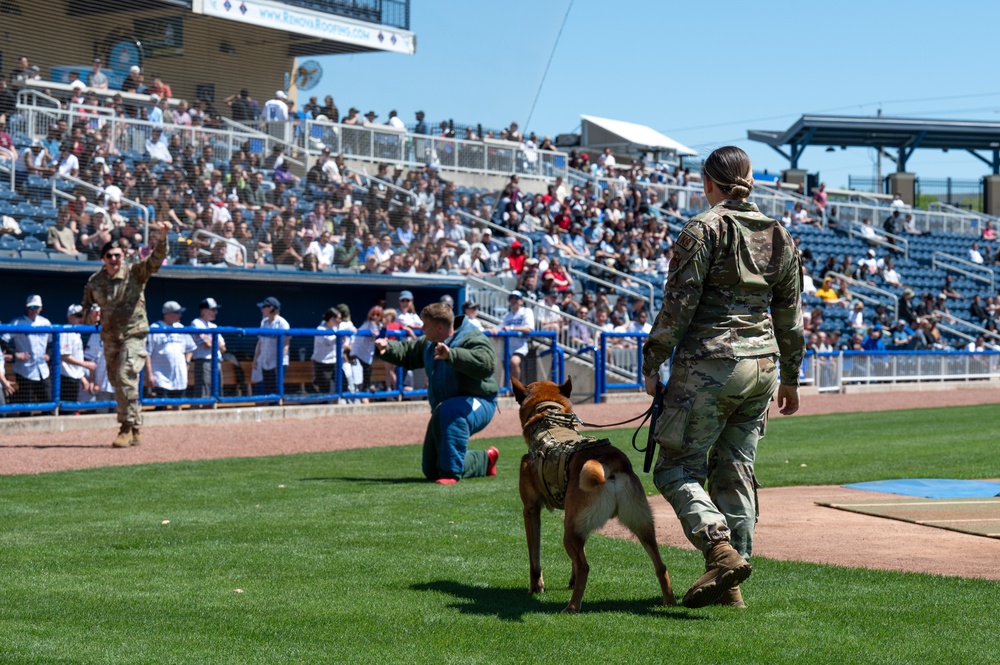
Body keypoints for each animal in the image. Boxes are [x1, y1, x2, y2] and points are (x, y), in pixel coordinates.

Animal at [512, 376, 676, 616]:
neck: (550, 416)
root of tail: (609, 462)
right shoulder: (574, 518)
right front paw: (569, 581)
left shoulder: (531, 510)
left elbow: (535, 557)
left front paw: (536, 587)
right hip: (642, 525)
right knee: (661, 565)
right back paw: (670, 601)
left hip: (570, 532)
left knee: (585, 566)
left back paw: (572, 606)